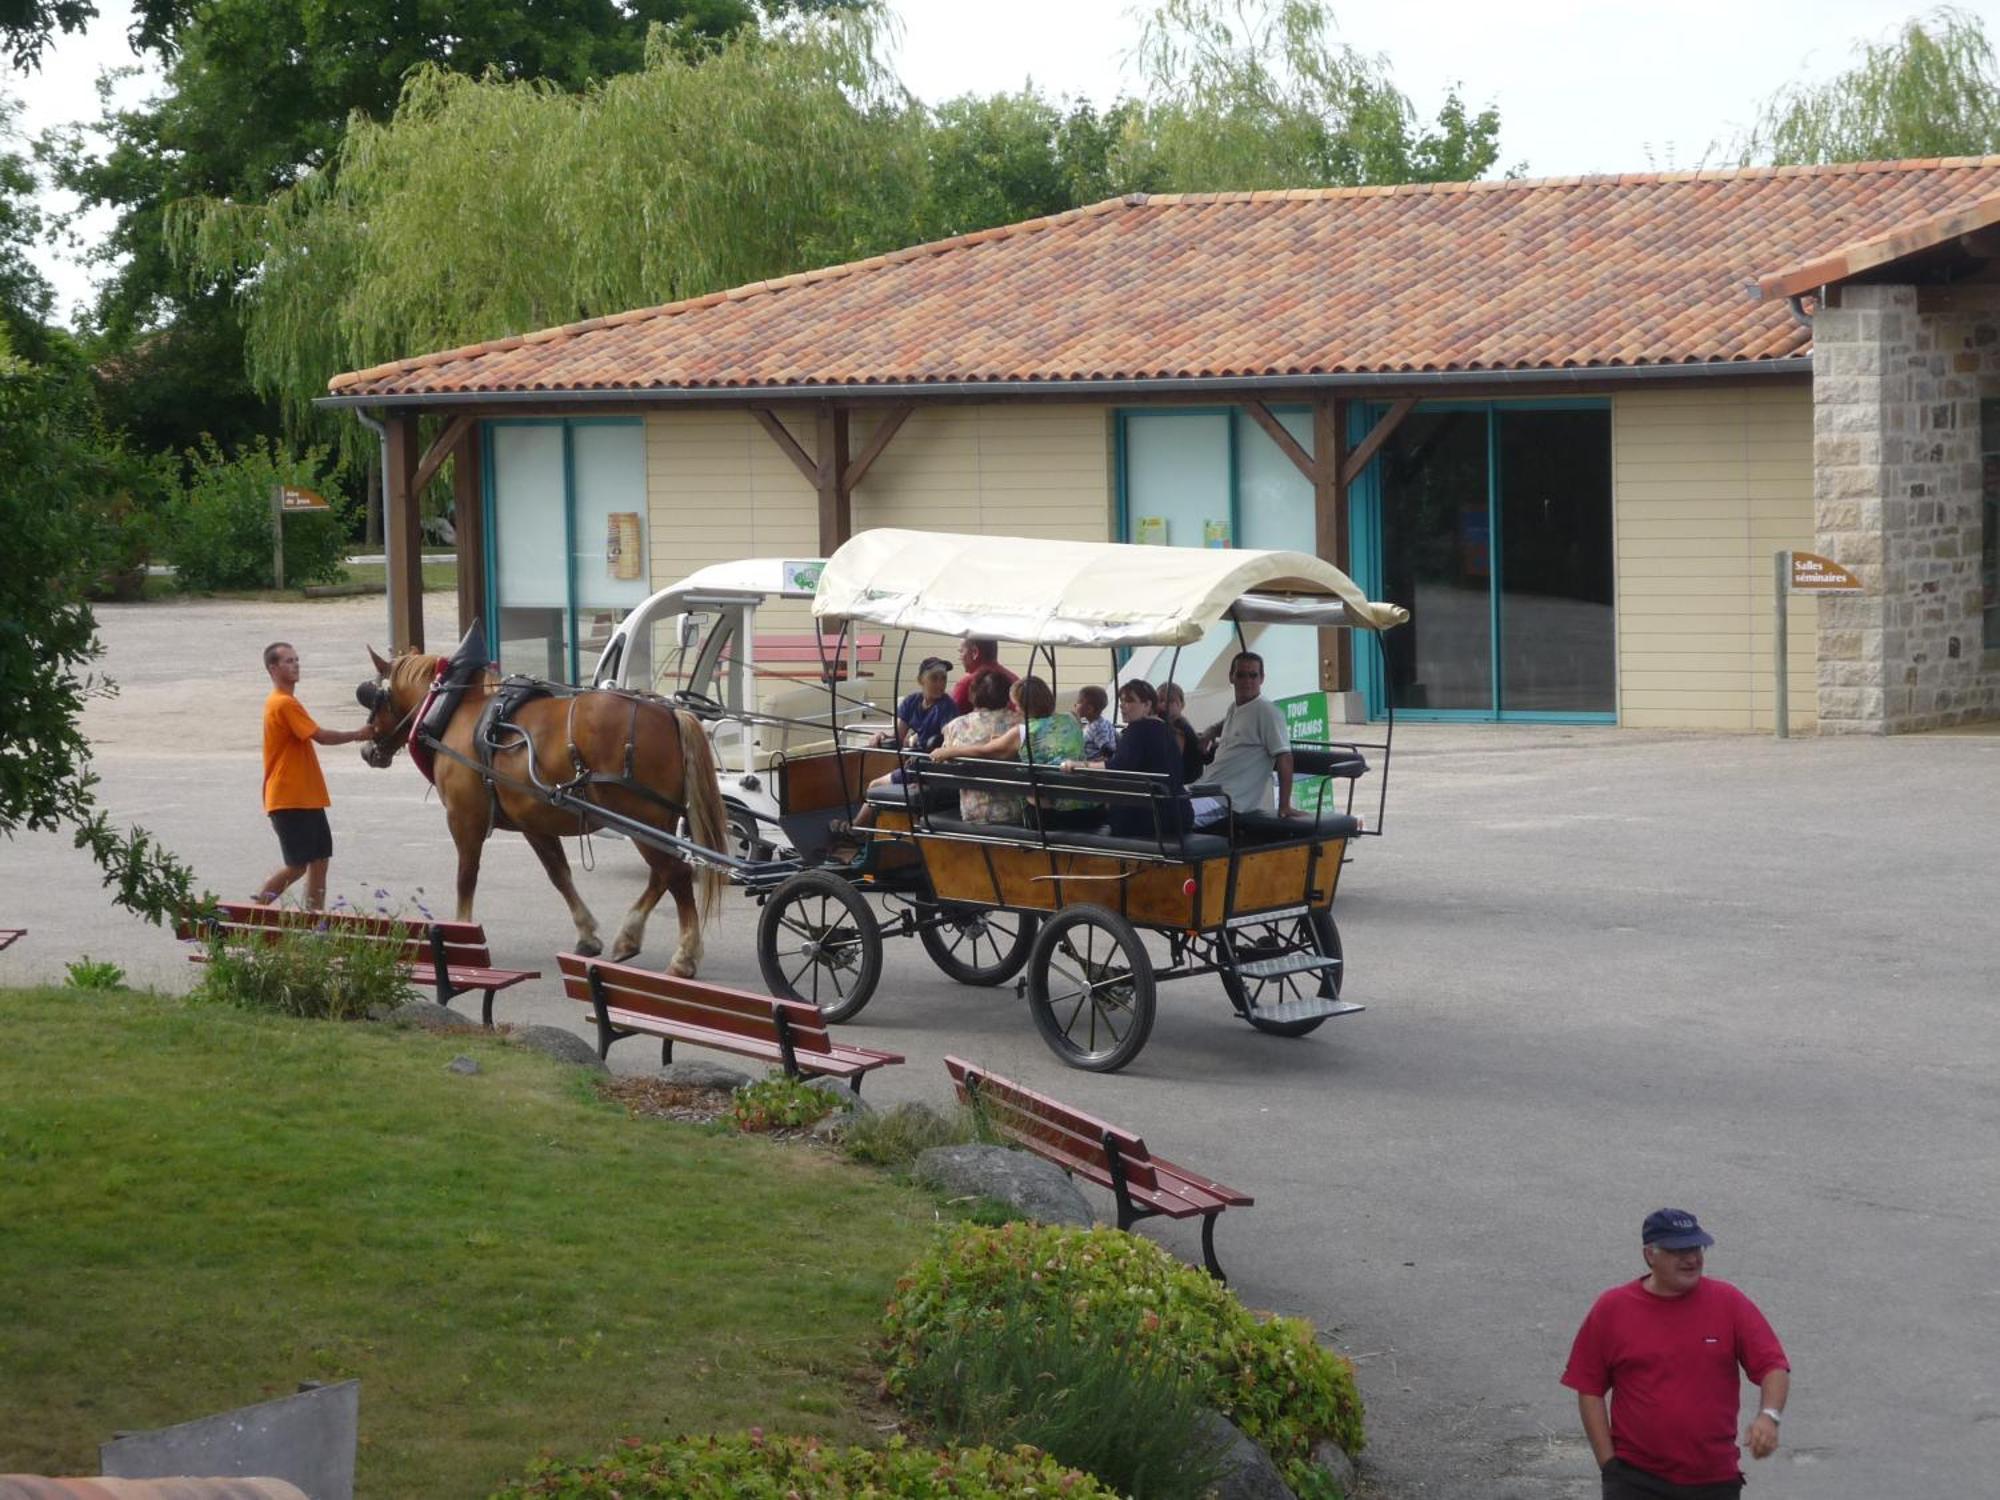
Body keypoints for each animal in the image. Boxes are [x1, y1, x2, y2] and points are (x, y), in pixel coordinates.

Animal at [356, 644, 732, 976]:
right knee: (663, 874)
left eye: (374, 696)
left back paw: (684, 956)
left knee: (676, 874)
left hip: (641, 817)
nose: (366, 751)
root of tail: (669, 712)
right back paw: (629, 936)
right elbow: (559, 874)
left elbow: (466, 877)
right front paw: (586, 934)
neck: (455, 710)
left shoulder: (465, 820)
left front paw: (461, 934)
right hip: (657, 822)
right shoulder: (533, 823)